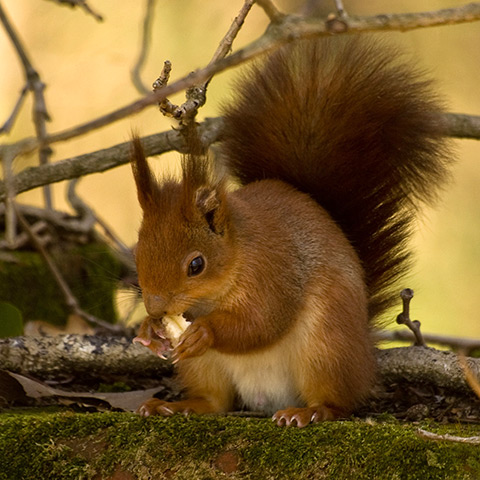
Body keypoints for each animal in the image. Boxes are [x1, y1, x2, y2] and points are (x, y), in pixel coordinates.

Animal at [130, 37, 450, 428]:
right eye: (137, 252)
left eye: (196, 265)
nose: (155, 307)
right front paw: (148, 330)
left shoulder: (274, 271)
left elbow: (262, 321)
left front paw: (205, 331)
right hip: (206, 367)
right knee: (215, 401)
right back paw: (176, 406)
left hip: (326, 347)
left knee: (338, 401)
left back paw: (310, 411)